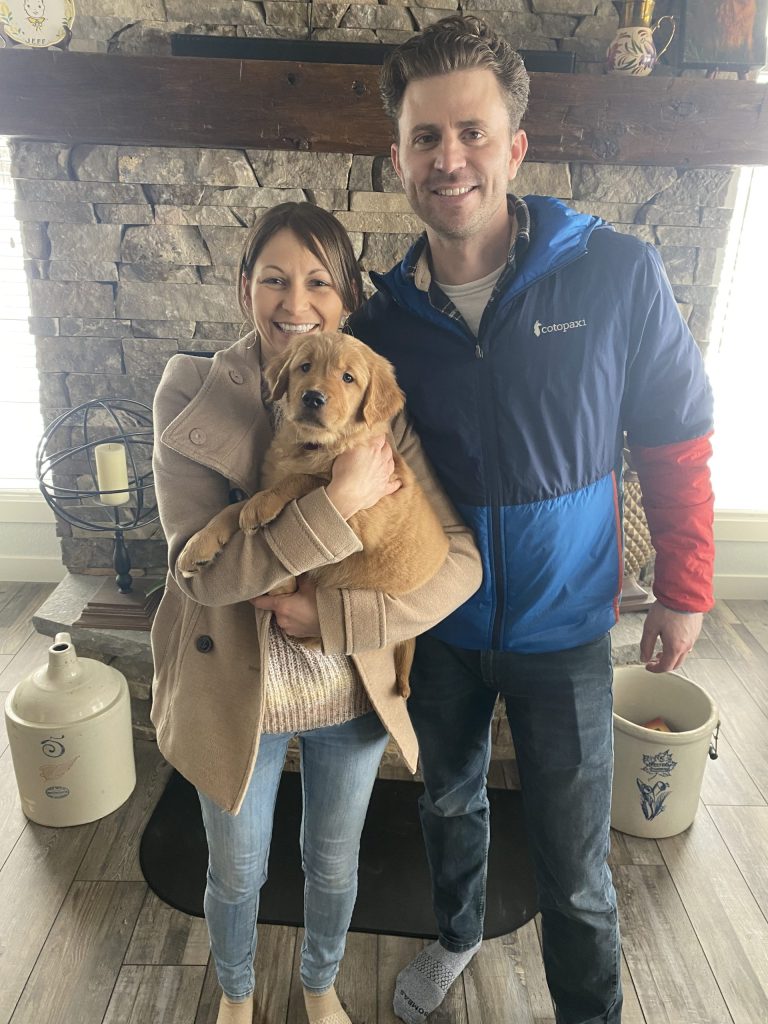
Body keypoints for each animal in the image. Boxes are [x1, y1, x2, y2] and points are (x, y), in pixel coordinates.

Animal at [177, 331, 451, 697]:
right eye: (304, 367)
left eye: (348, 378)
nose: (313, 397)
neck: (310, 446)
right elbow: (232, 508)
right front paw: (198, 546)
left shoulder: (360, 517)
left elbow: (306, 479)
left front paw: (263, 507)